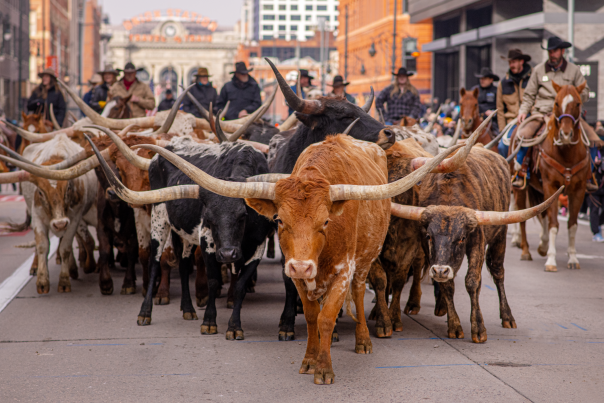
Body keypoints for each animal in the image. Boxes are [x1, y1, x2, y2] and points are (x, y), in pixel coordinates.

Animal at [512, 81, 588, 274]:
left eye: (577, 103)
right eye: (556, 103)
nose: (566, 135)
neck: (567, 153)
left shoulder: (579, 190)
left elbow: (572, 225)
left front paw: (573, 258)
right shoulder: (550, 185)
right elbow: (554, 224)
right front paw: (551, 260)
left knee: (543, 212)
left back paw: (543, 245)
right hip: (522, 188)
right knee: (522, 216)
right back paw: (525, 250)